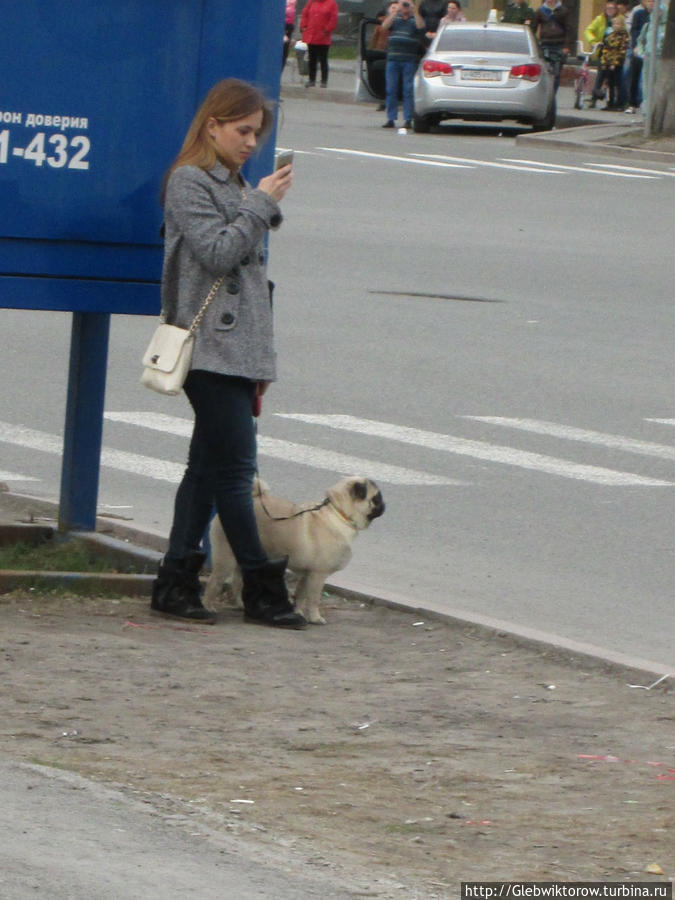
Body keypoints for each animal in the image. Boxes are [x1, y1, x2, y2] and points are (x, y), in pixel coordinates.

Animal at [203, 478, 386, 624]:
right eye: (376, 498)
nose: (385, 505)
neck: (339, 514)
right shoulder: (317, 575)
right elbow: (313, 599)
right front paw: (315, 618)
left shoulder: (307, 574)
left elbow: (300, 596)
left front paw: (298, 613)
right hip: (225, 559)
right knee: (214, 582)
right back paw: (208, 607)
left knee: (237, 582)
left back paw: (242, 605)